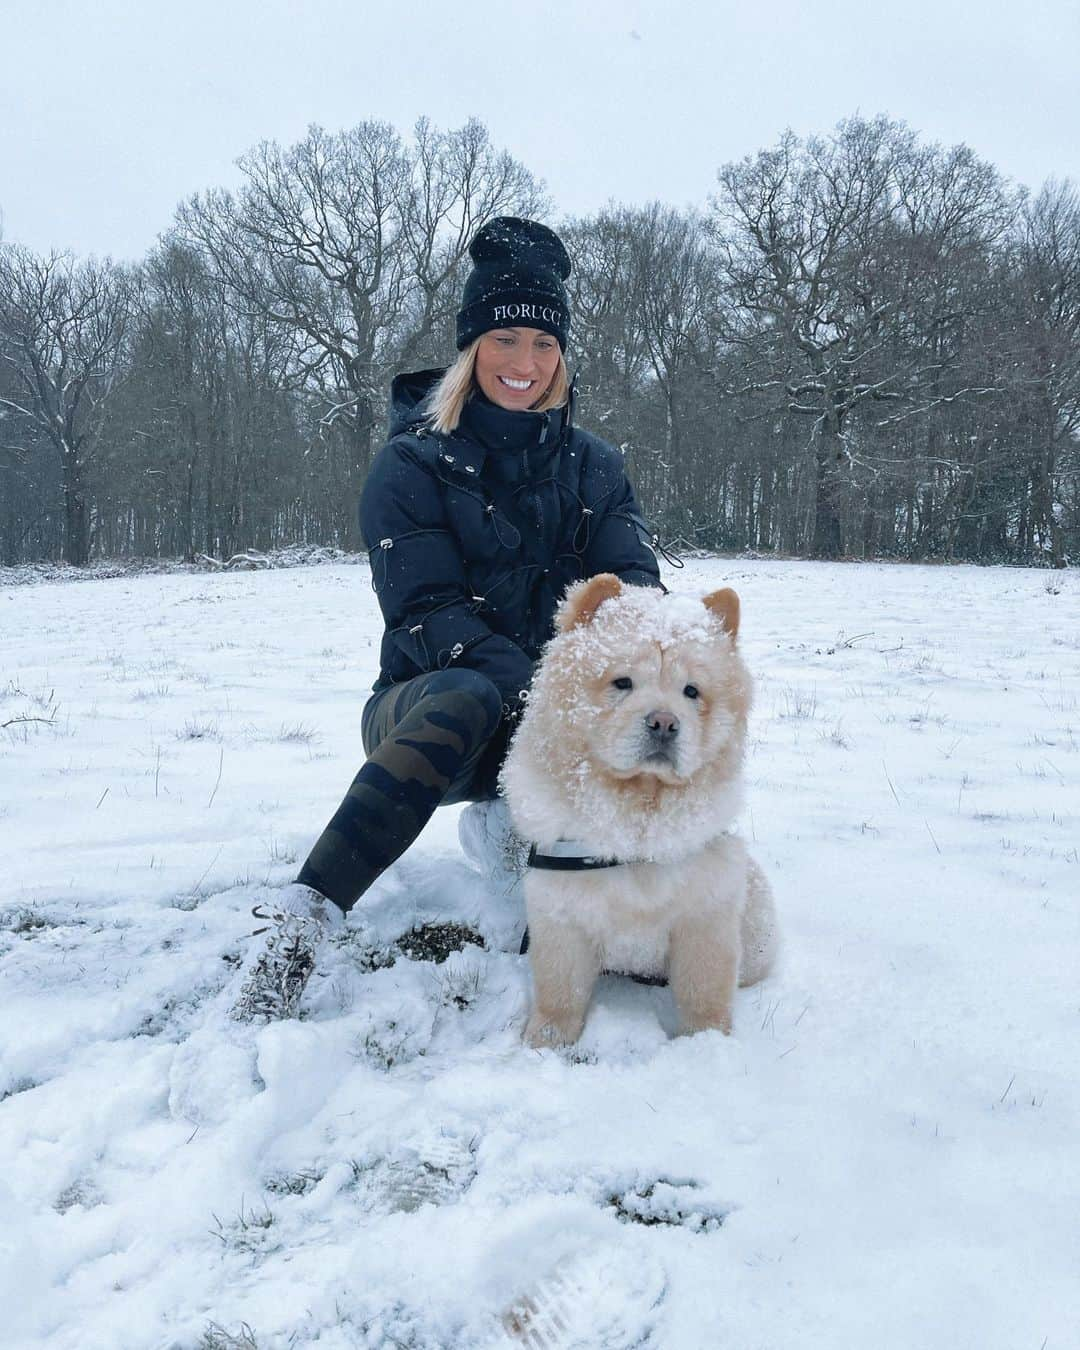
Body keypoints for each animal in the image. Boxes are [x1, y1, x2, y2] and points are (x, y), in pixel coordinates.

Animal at [496, 575, 777, 1047]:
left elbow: (704, 990)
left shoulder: (706, 914)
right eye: (622, 683)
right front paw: (545, 1042)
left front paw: (705, 1043)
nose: (664, 722)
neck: (638, 811)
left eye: (691, 691)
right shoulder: (561, 913)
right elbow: (560, 992)